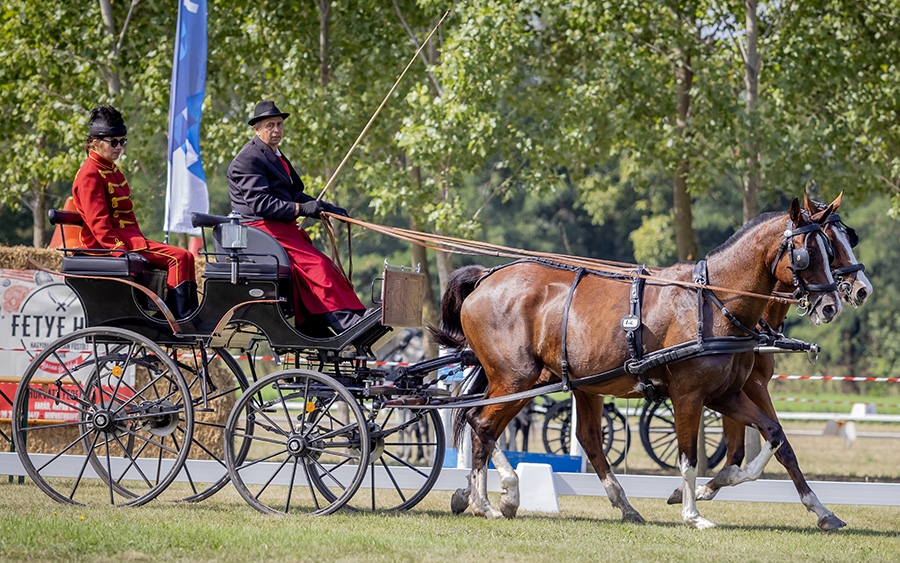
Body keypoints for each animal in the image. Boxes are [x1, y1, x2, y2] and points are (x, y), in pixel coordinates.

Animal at [436, 200, 844, 532]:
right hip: (517, 379)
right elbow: (688, 456)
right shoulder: (689, 396)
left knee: (569, 436)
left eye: (831, 248)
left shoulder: (726, 395)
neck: (713, 301)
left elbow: (775, 437)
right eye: (809, 252)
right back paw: (496, 498)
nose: (832, 305)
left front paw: (820, 510)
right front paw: (693, 513)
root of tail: (486, 278)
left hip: (553, 383)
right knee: (482, 424)